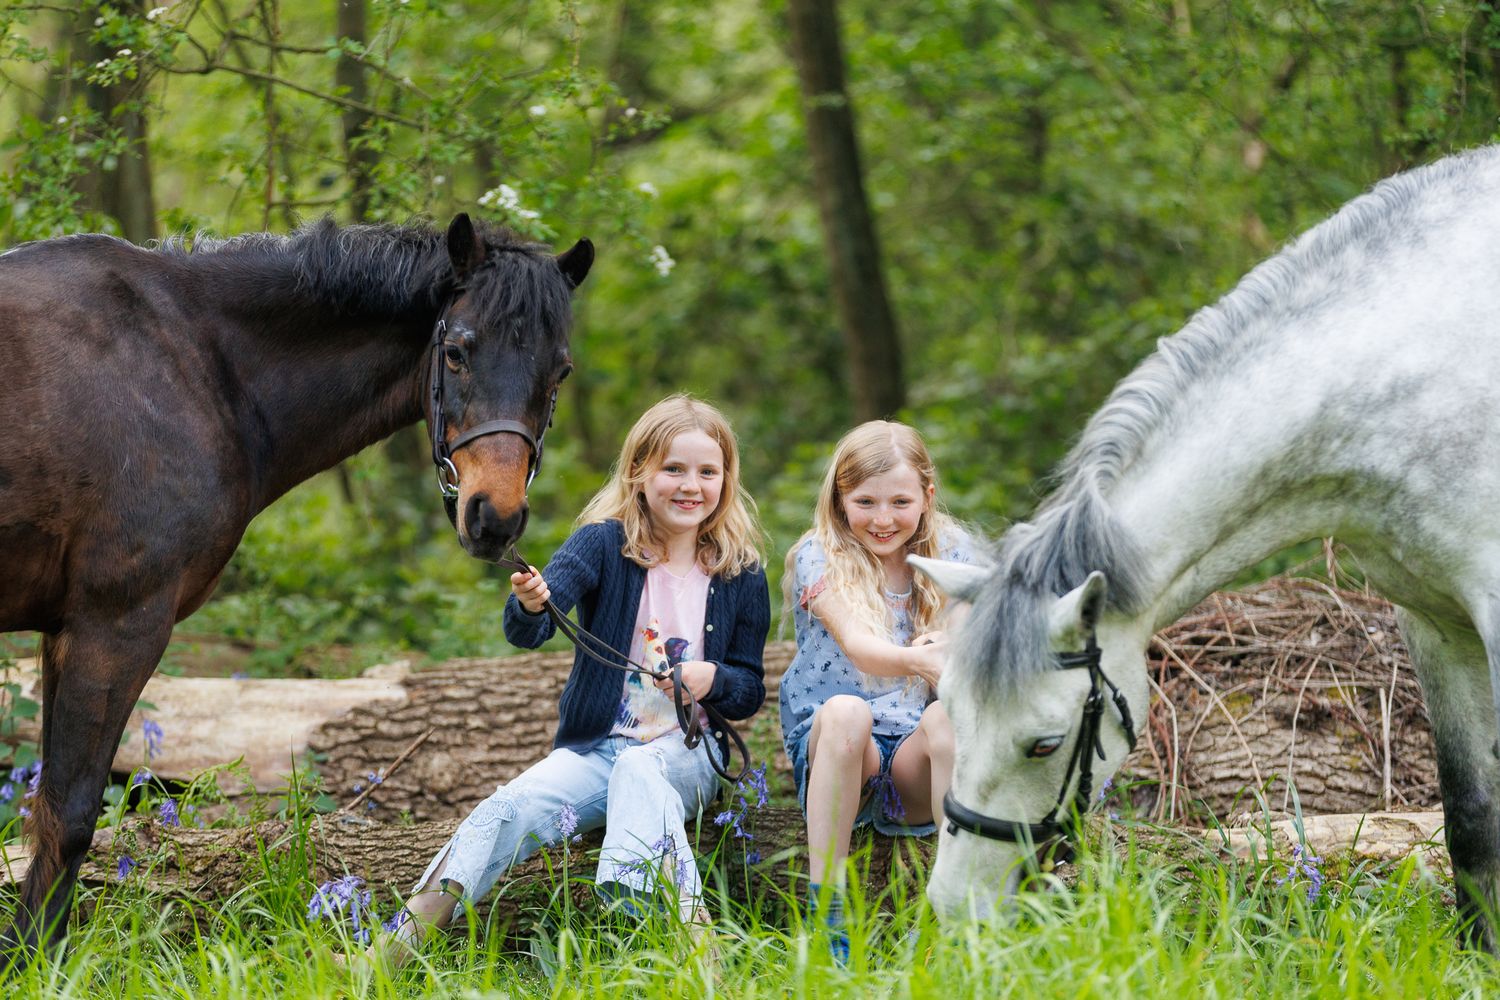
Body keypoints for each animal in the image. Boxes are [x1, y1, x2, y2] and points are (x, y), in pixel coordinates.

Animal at [0, 213, 592, 958]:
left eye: (559, 370)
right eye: (457, 352)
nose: (495, 517)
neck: (190, 365)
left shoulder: (65, 633)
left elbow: (52, 809)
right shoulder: (114, 625)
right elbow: (71, 813)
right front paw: (36, 961)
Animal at [912, 143, 1500, 950]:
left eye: (1043, 743)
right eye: (949, 710)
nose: (957, 914)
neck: (1417, 364)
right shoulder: (1436, 624)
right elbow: (1470, 816)